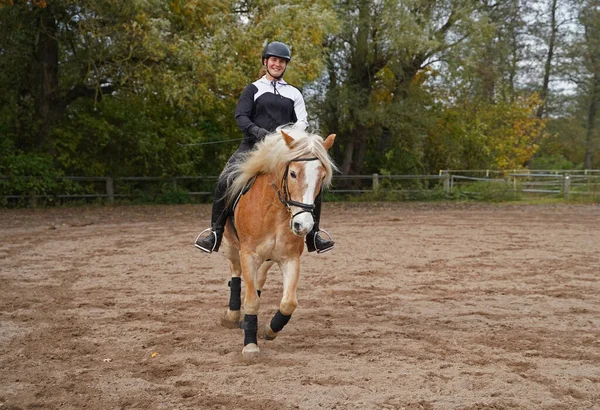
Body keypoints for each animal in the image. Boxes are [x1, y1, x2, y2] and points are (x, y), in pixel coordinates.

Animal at [219, 127, 338, 356]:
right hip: (230, 246)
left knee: (259, 280)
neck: (274, 211)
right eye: (293, 173)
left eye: (321, 176)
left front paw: (269, 329)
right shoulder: (248, 255)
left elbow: (288, 303)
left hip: (268, 258)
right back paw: (232, 314)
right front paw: (250, 345)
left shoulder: (290, 258)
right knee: (236, 274)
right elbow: (252, 300)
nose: (303, 225)